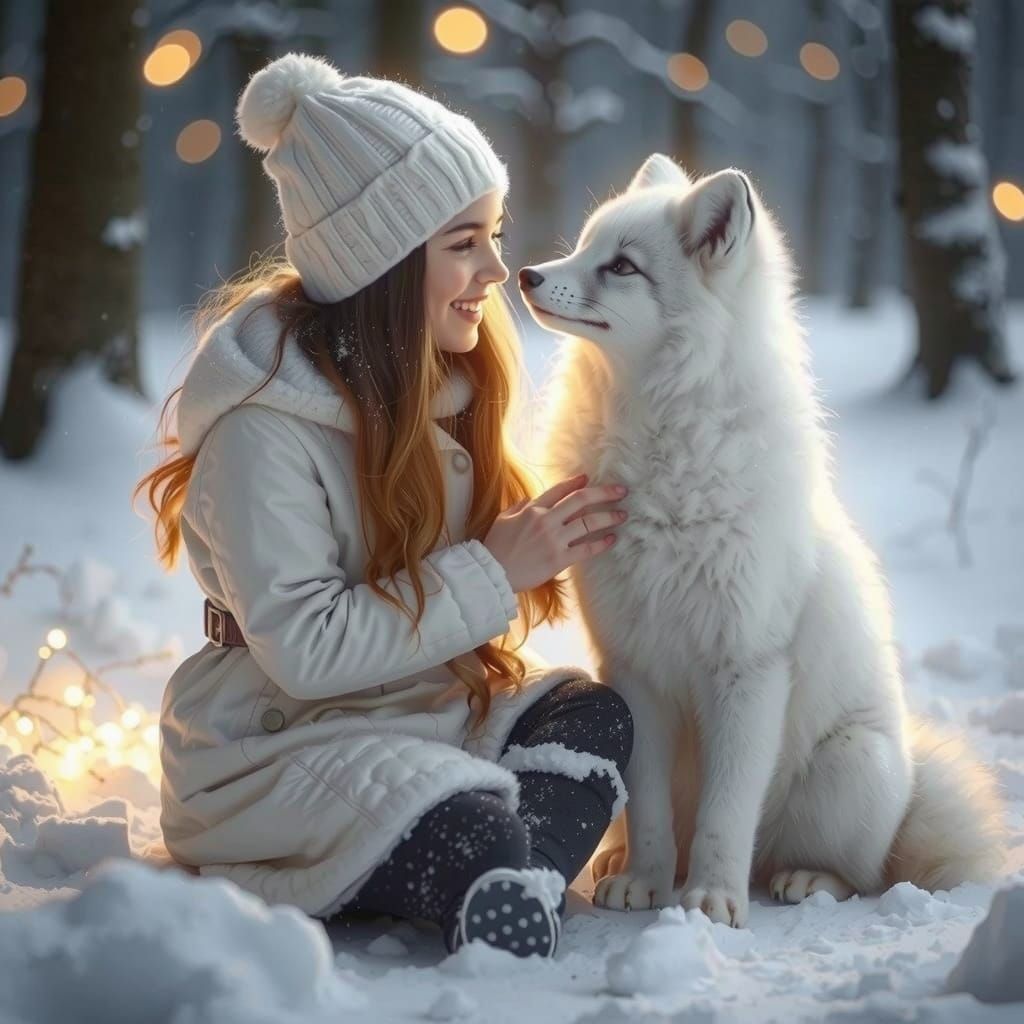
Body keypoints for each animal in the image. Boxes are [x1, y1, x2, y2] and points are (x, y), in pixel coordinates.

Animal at [517, 153, 1005, 927]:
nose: (527, 274)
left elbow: (726, 815)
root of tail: (909, 780)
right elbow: (650, 811)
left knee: (852, 874)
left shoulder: (747, 668)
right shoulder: (635, 669)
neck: (661, 447)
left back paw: (802, 880)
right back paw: (623, 863)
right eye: (585, 246)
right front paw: (648, 883)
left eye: (622, 266)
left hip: (848, 768)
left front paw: (711, 900)